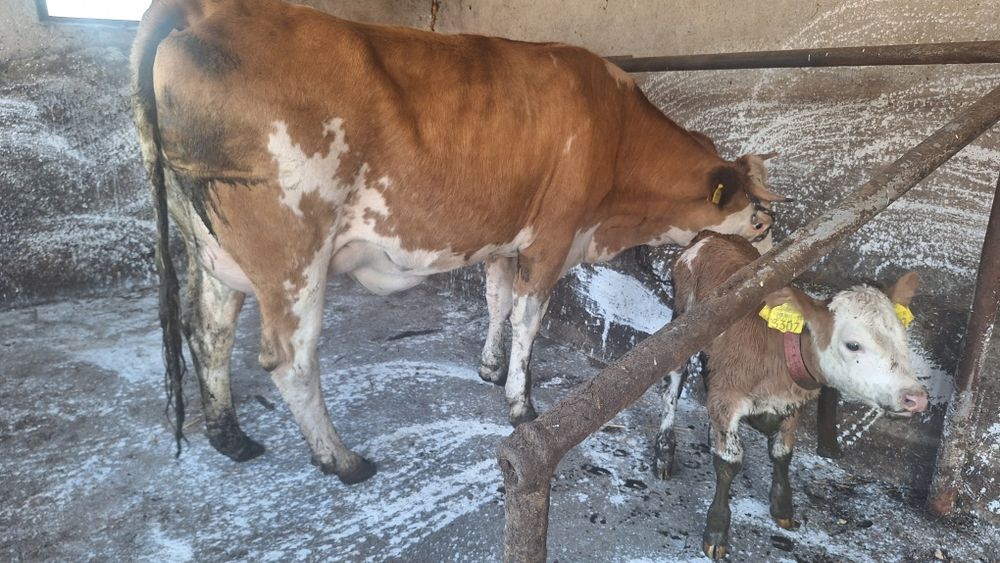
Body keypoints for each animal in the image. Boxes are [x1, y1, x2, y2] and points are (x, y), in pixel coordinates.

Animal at [131, 0, 788, 484]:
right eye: (760, 222)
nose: (769, 265)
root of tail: (211, 9)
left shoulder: (504, 237)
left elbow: (496, 302)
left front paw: (490, 368)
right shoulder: (553, 236)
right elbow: (528, 317)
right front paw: (521, 402)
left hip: (212, 248)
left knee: (208, 330)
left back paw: (230, 436)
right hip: (292, 253)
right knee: (289, 359)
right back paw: (340, 460)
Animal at [656, 232, 928, 560]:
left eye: (903, 340)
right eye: (853, 345)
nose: (916, 398)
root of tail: (712, 236)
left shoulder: (791, 403)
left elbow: (782, 453)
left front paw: (782, 508)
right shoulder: (727, 396)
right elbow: (729, 462)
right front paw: (717, 531)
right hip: (681, 322)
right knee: (674, 381)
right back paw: (664, 453)